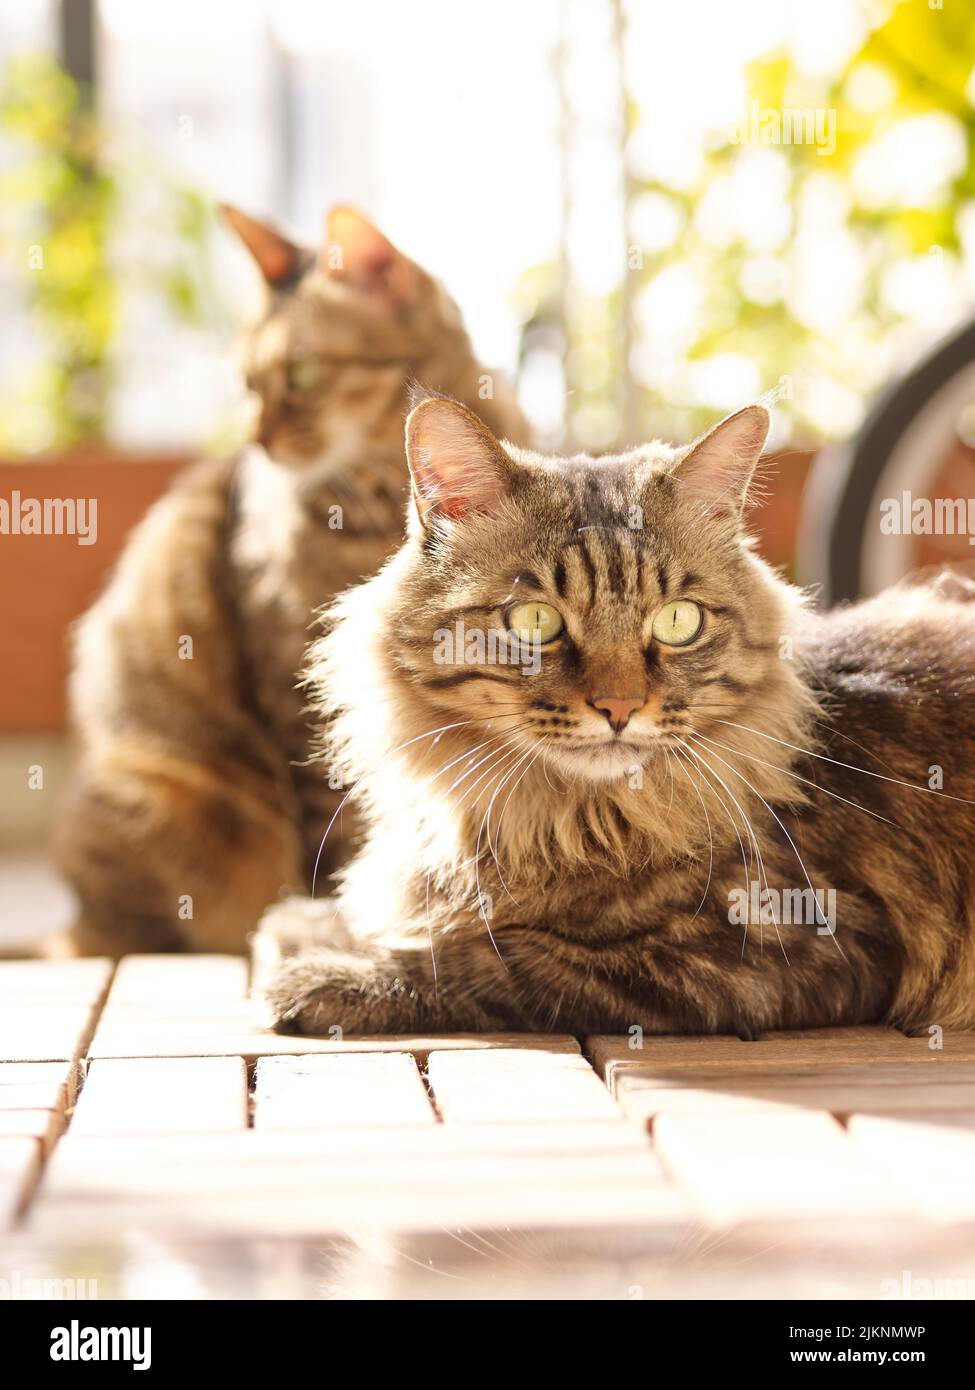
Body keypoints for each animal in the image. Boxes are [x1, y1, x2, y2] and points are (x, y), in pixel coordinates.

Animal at [257, 397, 973, 1039]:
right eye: (535, 622)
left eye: (679, 621)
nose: (621, 707)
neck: (561, 818)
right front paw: (305, 927)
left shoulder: (792, 946)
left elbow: (492, 958)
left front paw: (329, 976)